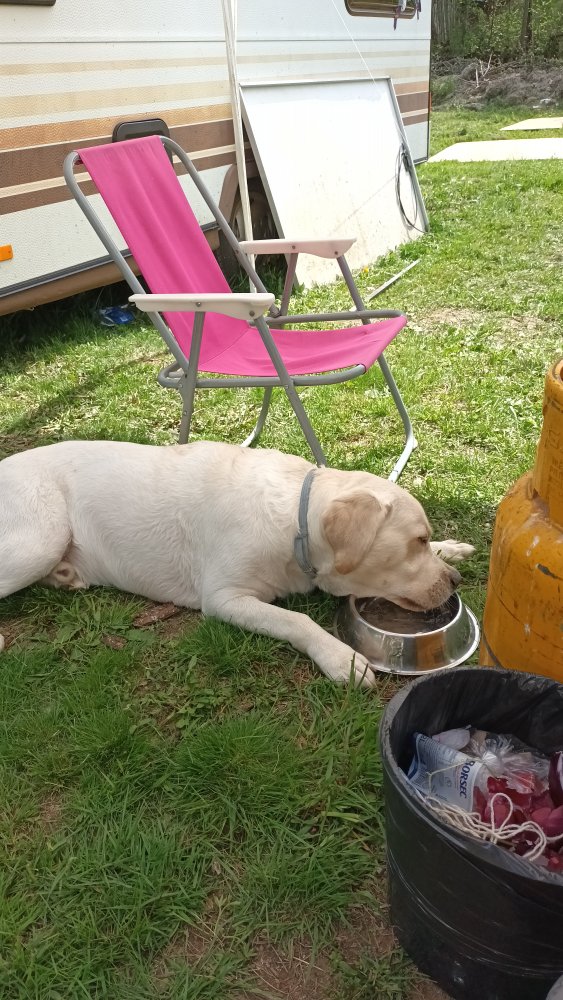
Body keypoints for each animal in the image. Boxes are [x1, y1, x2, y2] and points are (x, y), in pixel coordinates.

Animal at [0, 440, 473, 686]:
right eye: (415, 540)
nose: (455, 582)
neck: (296, 522)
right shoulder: (224, 598)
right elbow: (297, 620)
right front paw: (342, 658)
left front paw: (451, 549)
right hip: (41, 536)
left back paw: (65, 575)